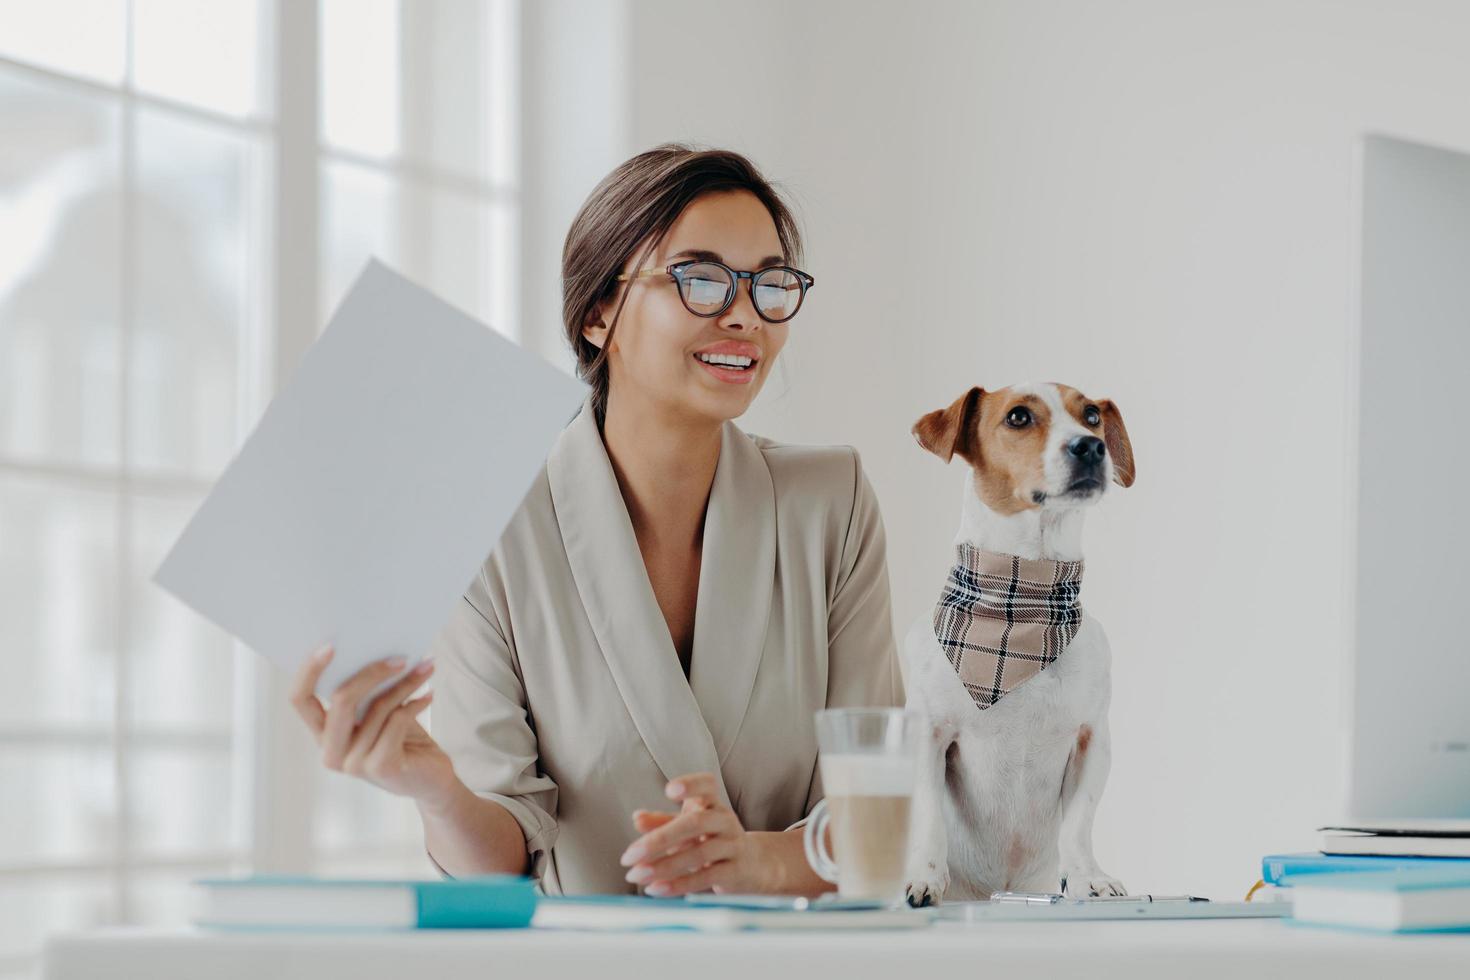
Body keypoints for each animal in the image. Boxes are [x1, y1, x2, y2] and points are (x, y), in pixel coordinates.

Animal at [893, 382, 1134, 905]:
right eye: (1019, 417)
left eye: (1091, 416)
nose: (1091, 447)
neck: (1022, 599)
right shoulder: (928, 735)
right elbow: (930, 818)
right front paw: (923, 876)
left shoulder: (1092, 739)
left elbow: (1077, 823)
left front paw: (1088, 877)